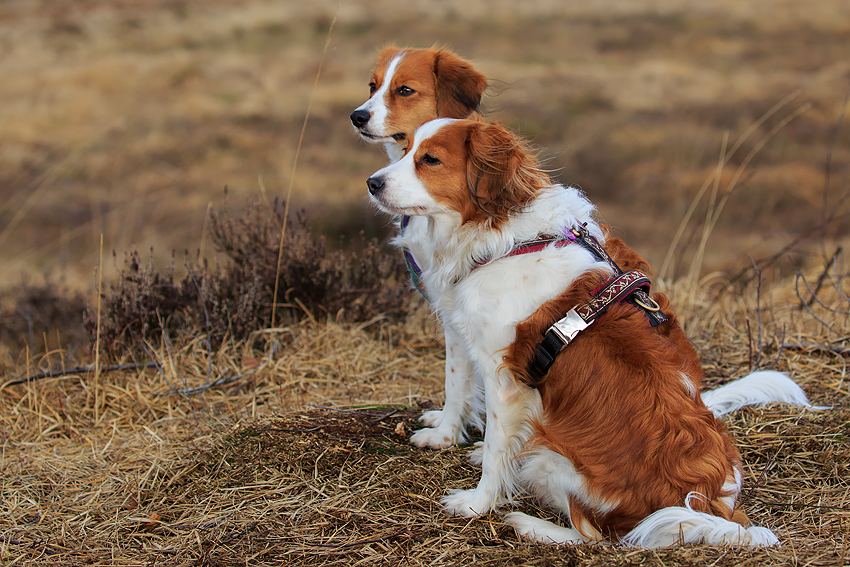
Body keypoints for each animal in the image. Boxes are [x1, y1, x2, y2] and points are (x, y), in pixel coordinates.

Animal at [366, 118, 820, 544]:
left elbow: (497, 447)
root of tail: (708, 502)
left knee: (596, 535)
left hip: (557, 456)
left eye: (430, 160)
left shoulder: (505, 377)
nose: (372, 183)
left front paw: (477, 504)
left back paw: (531, 526)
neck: (505, 238)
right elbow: (456, 384)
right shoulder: (464, 332)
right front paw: (445, 436)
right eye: (406, 148)